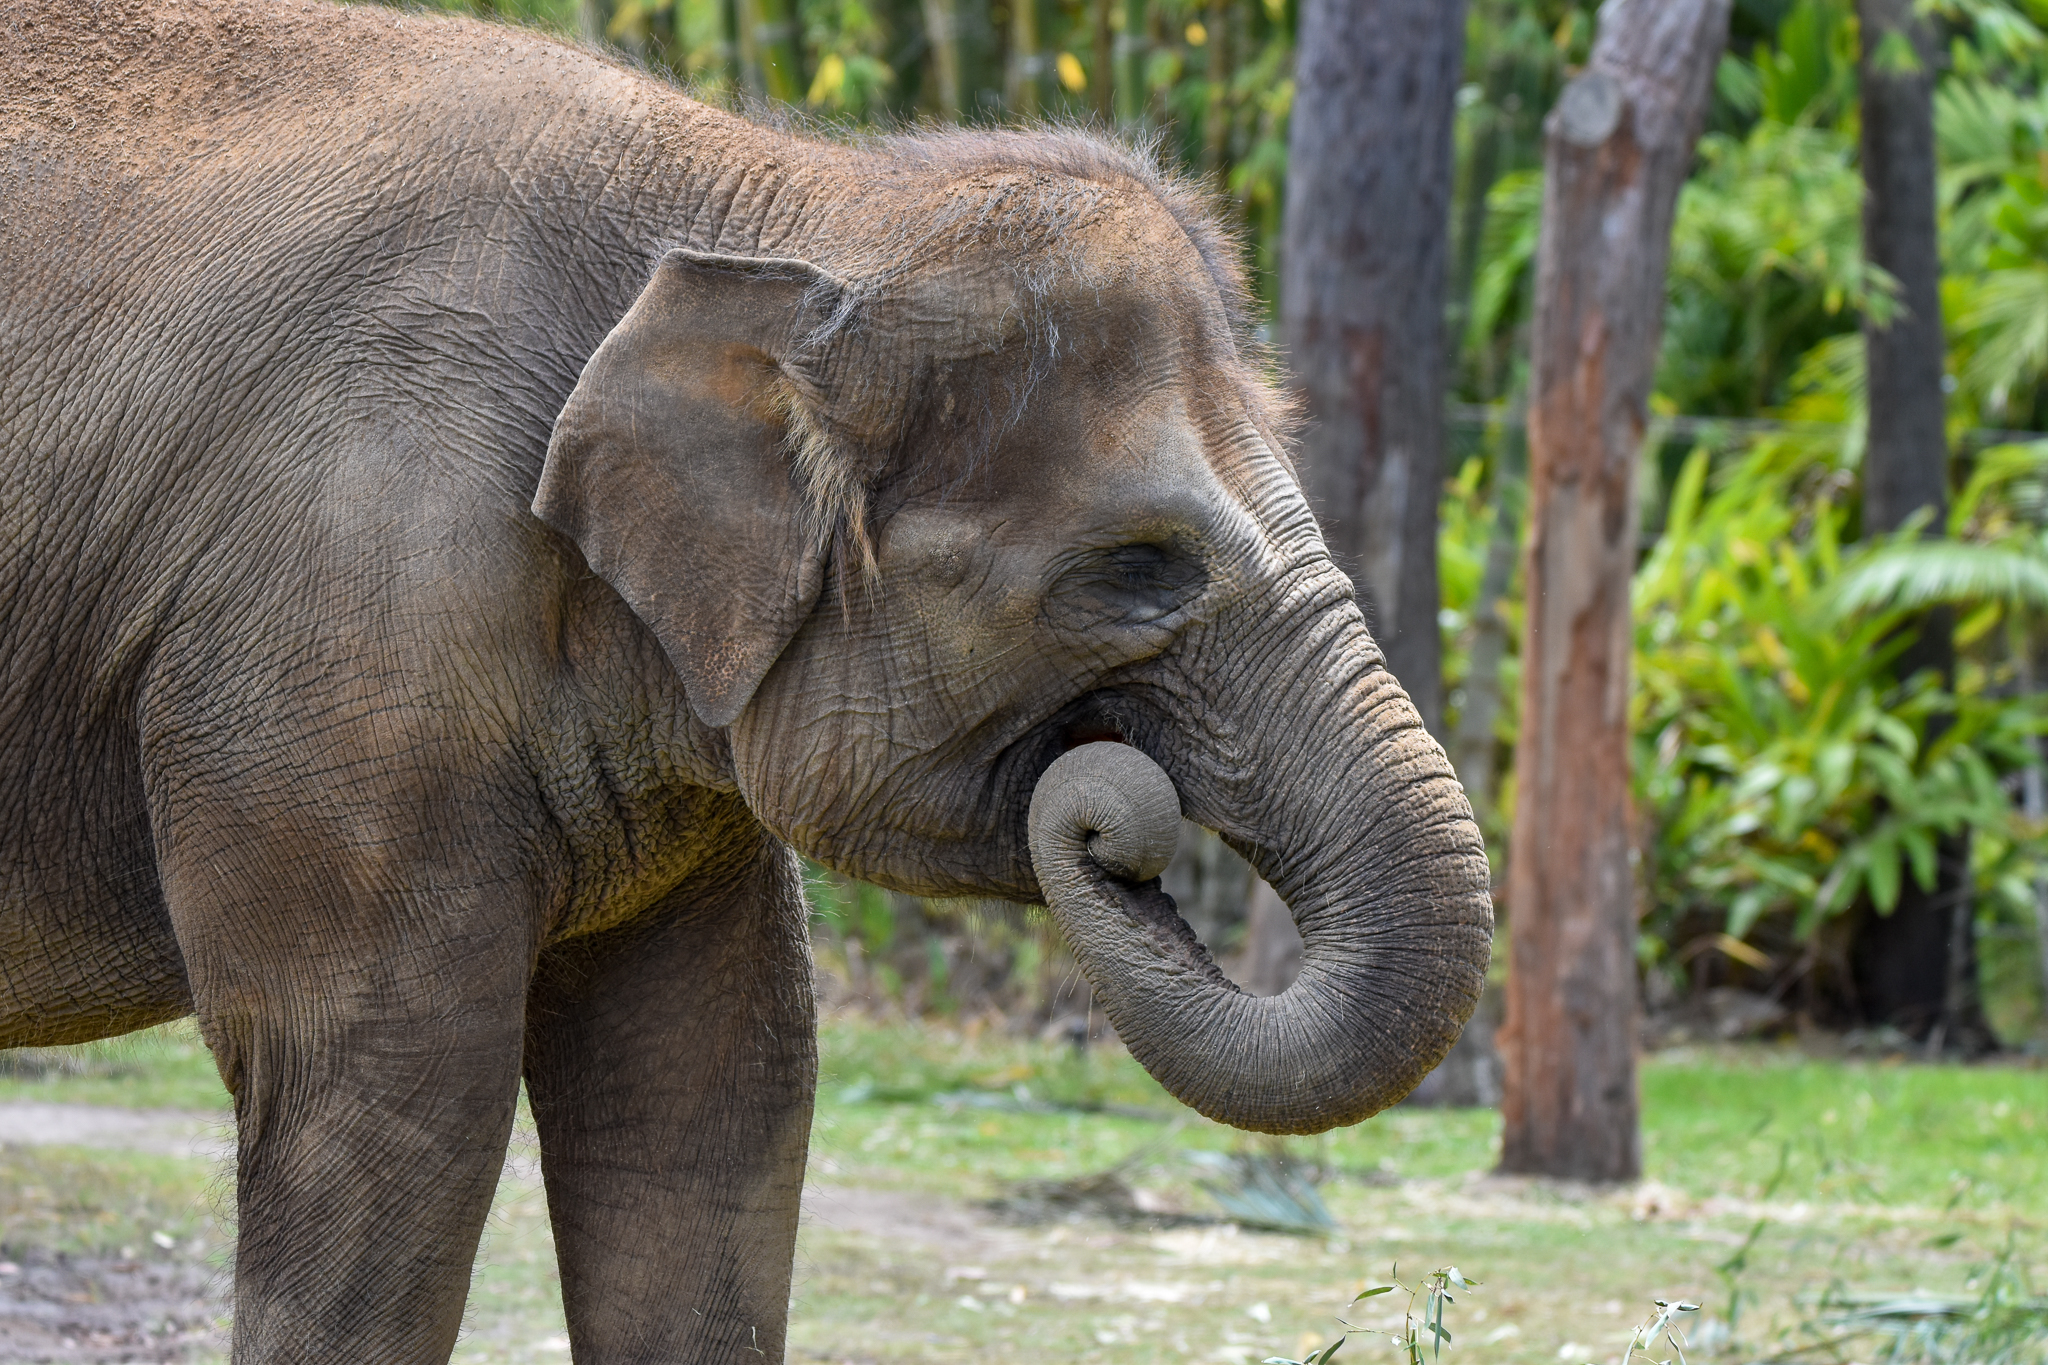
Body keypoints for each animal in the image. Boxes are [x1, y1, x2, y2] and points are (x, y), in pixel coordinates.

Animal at [0, 1, 1492, 1359]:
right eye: (1136, 568)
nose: (1117, 828)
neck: (795, 193)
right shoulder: (340, 637)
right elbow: (384, 1097)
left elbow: (716, 1087)